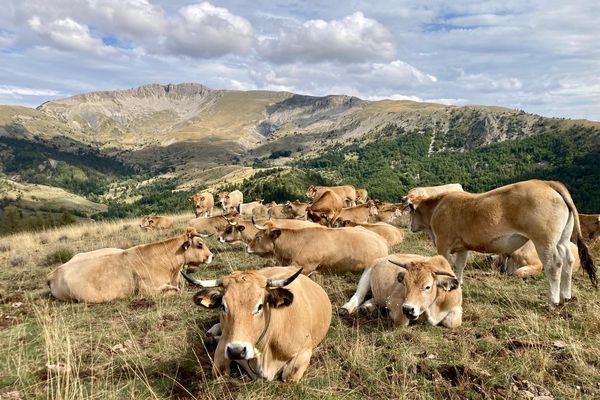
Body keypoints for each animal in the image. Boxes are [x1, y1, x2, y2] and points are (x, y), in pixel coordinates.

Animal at [183, 266, 332, 382]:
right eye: (223, 306)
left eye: (260, 306)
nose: (236, 351)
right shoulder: (223, 347)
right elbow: (219, 371)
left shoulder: (305, 350)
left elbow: (289, 375)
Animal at [406, 180, 596, 304]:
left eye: (411, 211)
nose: (410, 226)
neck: (437, 206)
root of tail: (547, 183)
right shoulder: (463, 247)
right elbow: (459, 267)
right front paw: (457, 285)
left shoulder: (443, 243)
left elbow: (445, 266)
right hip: (562, 239)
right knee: (568, 261)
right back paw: (566, 296)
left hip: (544, 240)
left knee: (554, 265)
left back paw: (553, 301)